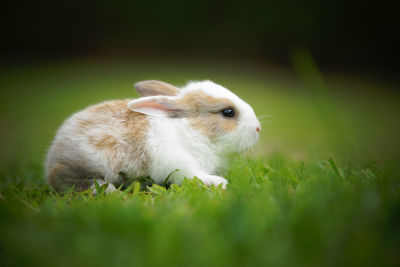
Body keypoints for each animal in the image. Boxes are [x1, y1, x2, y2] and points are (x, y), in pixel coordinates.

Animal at [45, 80, 260, 193]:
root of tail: (53, 153)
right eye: (228, 112)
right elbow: (192, 173)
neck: (192, 131)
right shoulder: (176, 161)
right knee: (61, 176)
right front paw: (216, 182)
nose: (258, 129)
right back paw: (108, 189)